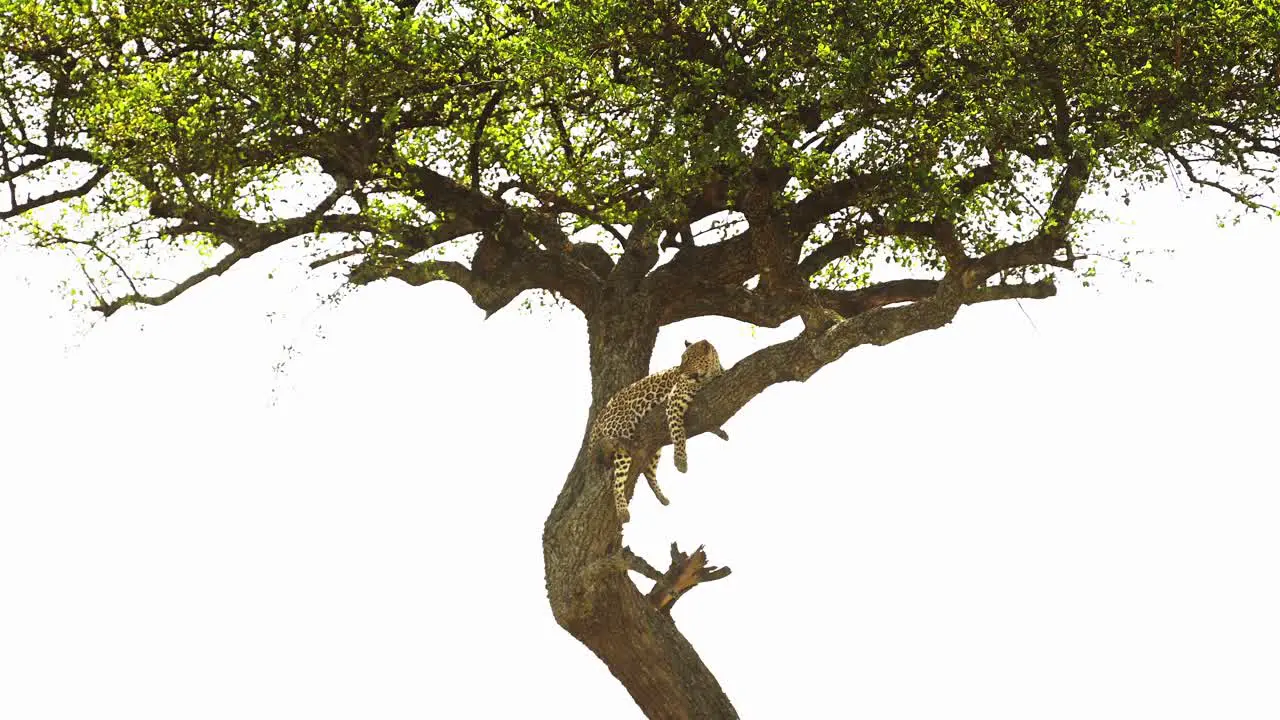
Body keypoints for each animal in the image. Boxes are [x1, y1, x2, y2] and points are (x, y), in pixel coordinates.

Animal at [586, 335, 727, 520]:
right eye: (682, 359)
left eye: (689, 359)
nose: (680, 371)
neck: (710, 374)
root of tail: (599, 418)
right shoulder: (674, 400)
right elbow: (678, 432)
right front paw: (681, 461)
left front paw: (720, 432)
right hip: (621, 438)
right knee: (617, 481)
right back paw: (623, 511)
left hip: (653, 446)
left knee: (649, 471)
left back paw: (662, 497)